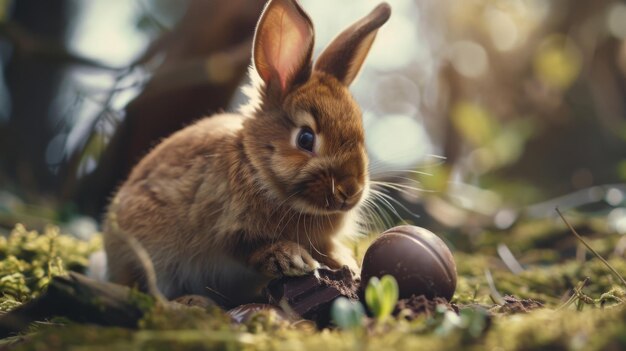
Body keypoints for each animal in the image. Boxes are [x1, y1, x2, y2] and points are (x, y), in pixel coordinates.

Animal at [105, 0, 392, 308]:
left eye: (360, 132)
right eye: (305, 138)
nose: (351, 190)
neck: (257, 170)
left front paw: (348, 264)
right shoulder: (225, 227)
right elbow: (247, 248)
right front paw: (291, 259)